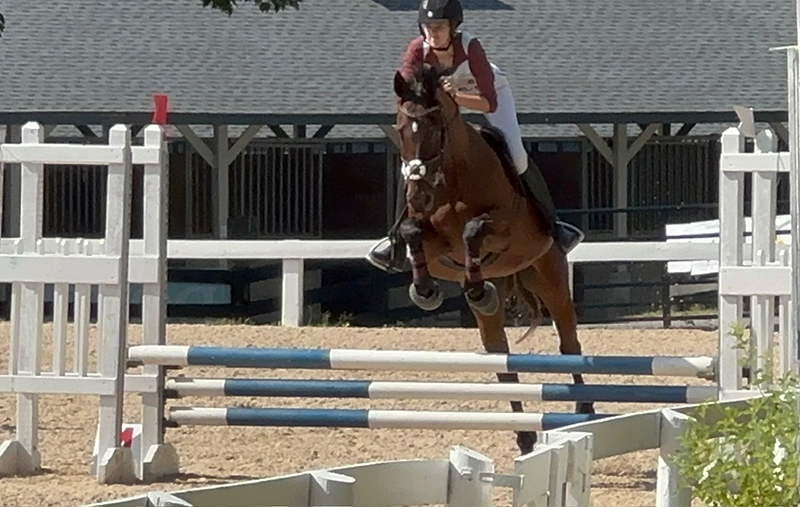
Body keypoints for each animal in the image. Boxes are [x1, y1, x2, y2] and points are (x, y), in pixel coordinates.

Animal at [390, 64, 592, 456]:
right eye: (400, 127)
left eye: (435, 127)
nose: (418, 194)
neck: (452, 178)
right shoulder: (433, 240)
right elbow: (411, 231)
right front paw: (425, 291)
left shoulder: (505, 227)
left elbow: (472, 230)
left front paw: (469, 287)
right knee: (501, 356)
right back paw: (525, 437)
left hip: (550, 276)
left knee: (569, 343)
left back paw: (585, 409)